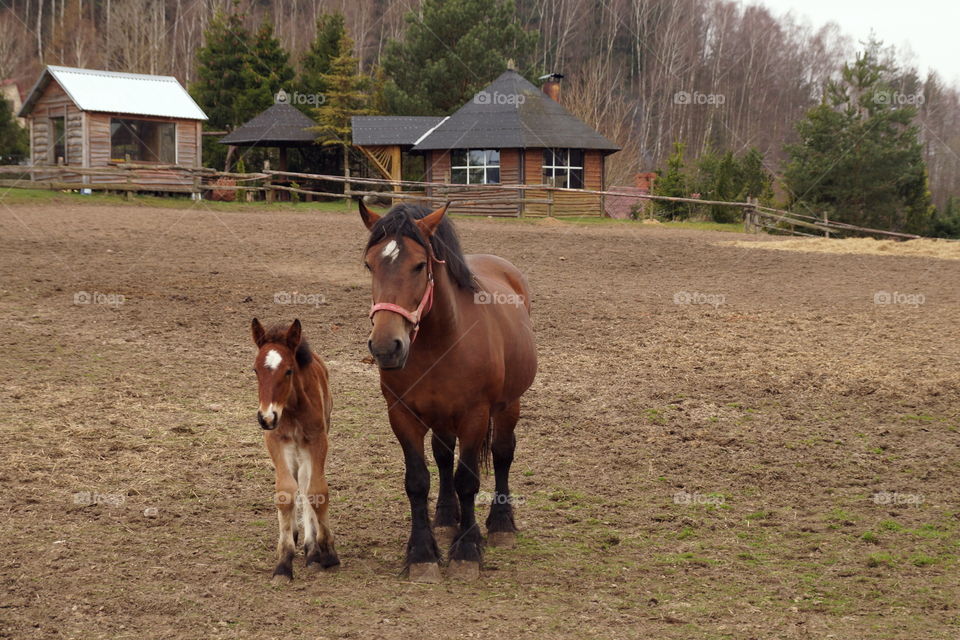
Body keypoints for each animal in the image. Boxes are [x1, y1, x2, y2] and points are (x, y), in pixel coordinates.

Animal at [249, 318, 340, 584]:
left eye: (288, 371)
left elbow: (316, 491)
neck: (291, 407)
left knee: (307, 483)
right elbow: (285, 492)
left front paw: (327, 553)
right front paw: (283, 562)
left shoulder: (318, 440)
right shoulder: (275, 441)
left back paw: (312, 549)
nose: (266, 417)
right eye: (255, 370)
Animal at [362, 202, 540, 584]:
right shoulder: (402, 414)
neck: (441, 342)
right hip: (441, 415)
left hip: (508, 405)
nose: (386, 347)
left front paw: (467, 551)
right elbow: (418, 481)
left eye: (419, 265)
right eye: (370, 264)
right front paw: (422, 554)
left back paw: (500, 525)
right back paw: (445, 520)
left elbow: (468, 480)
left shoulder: (475, 414)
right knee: (443, 457)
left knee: (502, 453)